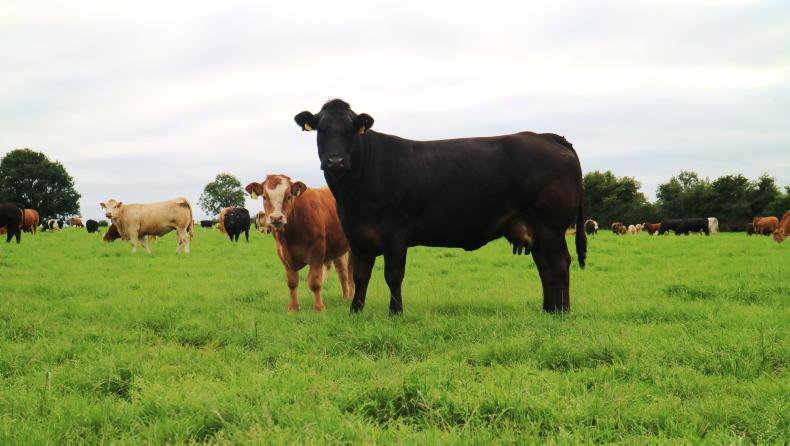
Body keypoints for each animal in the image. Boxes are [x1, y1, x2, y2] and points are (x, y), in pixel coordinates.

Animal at [246, 175, 353, 312]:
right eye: (265, 197)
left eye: (288, 196)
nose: (276, 218)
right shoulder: (283, 255)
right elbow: (292, 282)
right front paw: (293, 307)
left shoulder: (317, 252)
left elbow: (314, 281)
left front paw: (319, 308)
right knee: (342, 272)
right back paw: (346, 297)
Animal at [294, 99, 585, 314]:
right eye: (321, 130)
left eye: (351, 130)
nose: (335, 161)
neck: (353, 196)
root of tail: (546, 136)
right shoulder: (357, 236)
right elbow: (360, 276)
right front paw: (356, 311)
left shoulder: (395, 234)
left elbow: (393, 275)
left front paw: (395, 312)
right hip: (535, 229)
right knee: (545, 266)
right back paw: (548, 309)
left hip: (550, 226)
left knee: (559, 264)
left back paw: (563, 312)